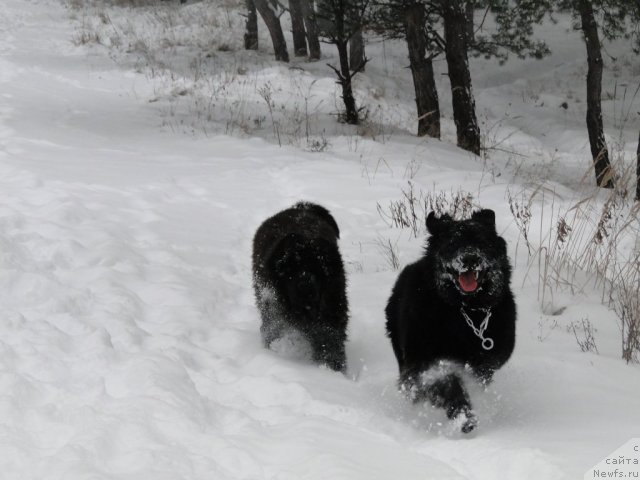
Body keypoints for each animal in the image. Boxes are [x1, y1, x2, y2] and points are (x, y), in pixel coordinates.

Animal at [251, 202, 350, 372]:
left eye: (318, 271)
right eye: (291, 272)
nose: (305, 287)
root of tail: (300, 207)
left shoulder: (332, 312)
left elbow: (330, 342)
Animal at [384, 208, 516, 434]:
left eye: (481, 241)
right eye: (453, 242)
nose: (470, 259)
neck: (466, 311)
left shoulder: (485, 365)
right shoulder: (427, 363)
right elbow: (448, 384)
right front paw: (464, 417)